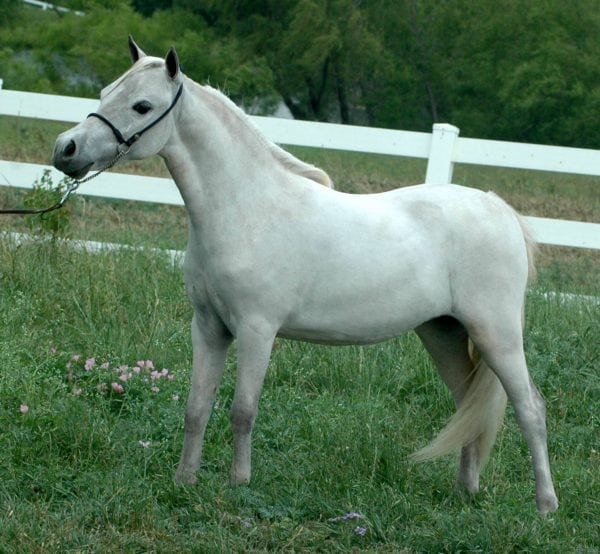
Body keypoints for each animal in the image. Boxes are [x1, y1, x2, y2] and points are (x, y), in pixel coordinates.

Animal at [51, 40, 556, 512]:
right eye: (105, 92)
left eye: (142, 105)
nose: (65, 149)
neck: (246, 208)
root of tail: (499, 207)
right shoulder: (208, 328)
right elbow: (197, 408)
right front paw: (184, 482)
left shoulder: (257, 330)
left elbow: (242, 411)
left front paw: (238, 486)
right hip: (444, 333)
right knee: (469, 405)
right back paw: (466, 492)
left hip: (496, 335)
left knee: (530, 408)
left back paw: (545, 505)